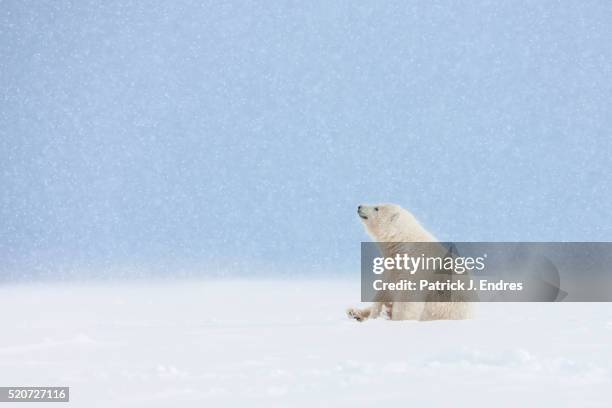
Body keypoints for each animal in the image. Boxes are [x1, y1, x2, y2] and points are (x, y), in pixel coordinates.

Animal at [344, 204, 474, 322]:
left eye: (377, 208)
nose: (359, 206)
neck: (404, 244)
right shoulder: (393, 267)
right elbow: (384, 289)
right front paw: (374, 314)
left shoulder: (416, 266)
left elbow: (407, 300)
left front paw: (397, 319)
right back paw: (354, 312)